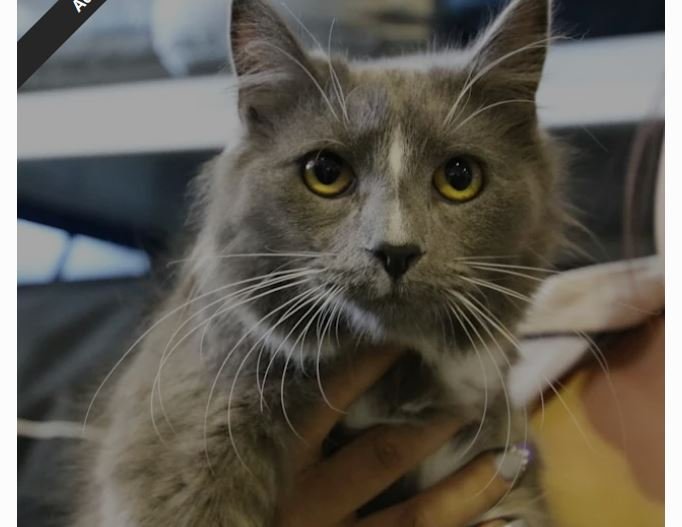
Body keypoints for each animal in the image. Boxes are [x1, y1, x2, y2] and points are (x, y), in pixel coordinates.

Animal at [75, 0, 564, 524]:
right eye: (326, 173)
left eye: (459, 177)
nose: (396, 249)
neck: (391, 381)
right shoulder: (181, 435)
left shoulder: (492, 450)